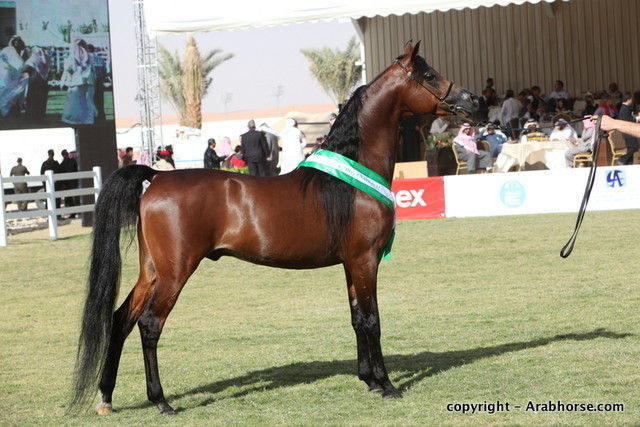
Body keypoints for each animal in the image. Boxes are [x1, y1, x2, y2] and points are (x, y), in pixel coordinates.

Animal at [71, 42, 478, 415]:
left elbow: (357, 319)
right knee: (150, 324)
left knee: (121, 319)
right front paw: (387, 384)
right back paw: (162, 401)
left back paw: (106, 398)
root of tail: (155, 176)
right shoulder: (366, 260)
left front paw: (369, 380)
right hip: (175, 272)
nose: (471, 99)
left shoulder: (350, 263)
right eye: (429, 75)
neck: (349, 180)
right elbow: (373, 319)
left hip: (152, 270)